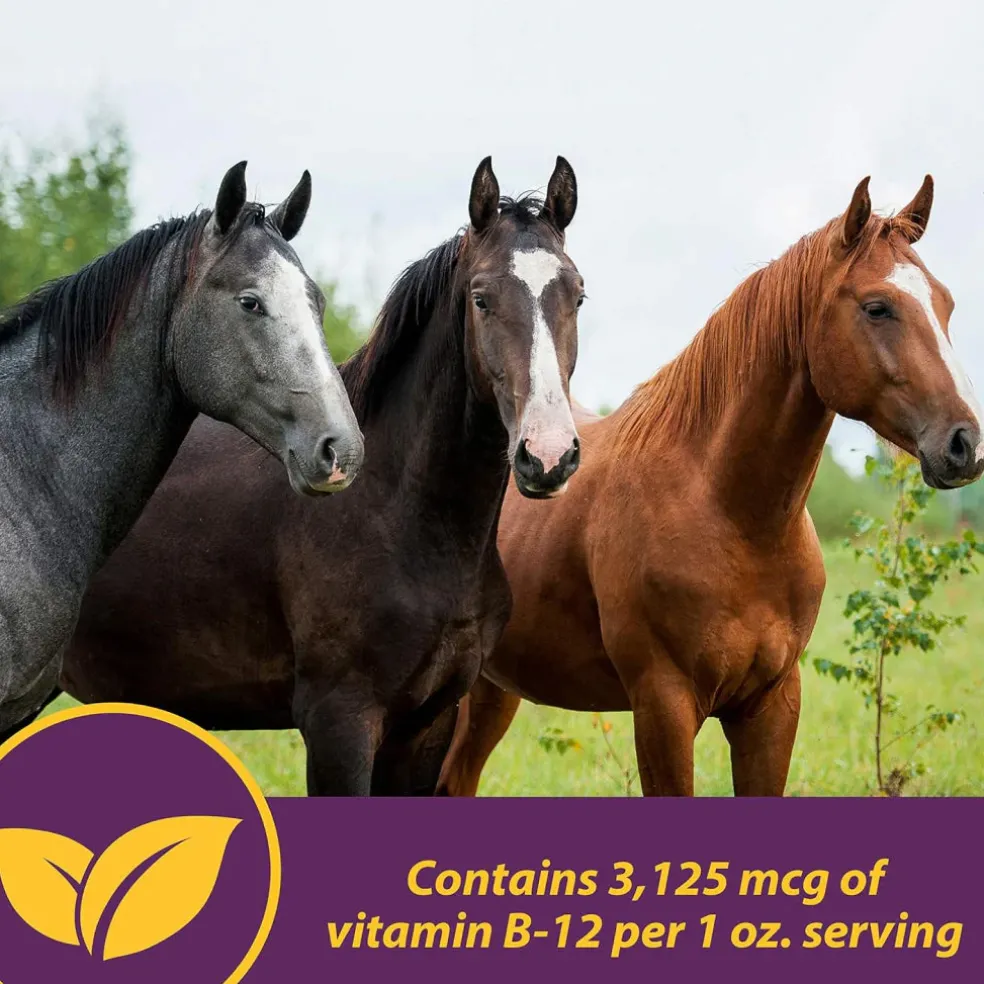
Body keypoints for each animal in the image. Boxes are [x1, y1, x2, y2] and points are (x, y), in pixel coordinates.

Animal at [51, 156, 585, 795]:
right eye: (481, 298)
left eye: (578, 296)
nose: (547, 455)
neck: (401, 513)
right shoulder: (340, 723)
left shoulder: (426, 726)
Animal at [438, 175, 984, 797]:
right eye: (877, 307)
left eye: (945, 303)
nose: (965, 443)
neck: (730, 516)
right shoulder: (664, 707)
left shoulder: (771, 706)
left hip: (491, 691)